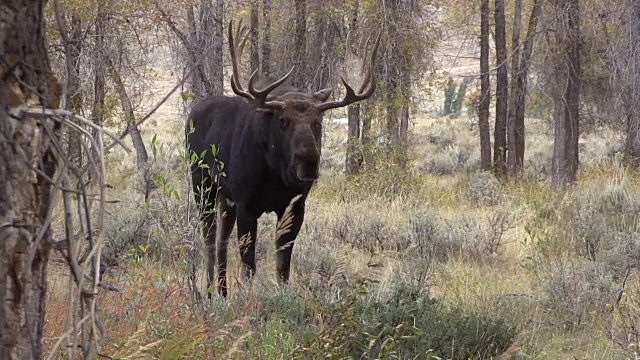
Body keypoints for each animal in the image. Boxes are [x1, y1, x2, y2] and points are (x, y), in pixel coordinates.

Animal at [185, 19, 380, 298]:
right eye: (283, 121)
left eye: (318, 122)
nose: (308, 161)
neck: (276, 176)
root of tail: (192, 114)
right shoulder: (247, 205)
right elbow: (249, 264)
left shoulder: (295, 205)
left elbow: (283, 265)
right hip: (202, 184)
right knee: (209, 237)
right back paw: (210, 292)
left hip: (226, 198)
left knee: (221, 239)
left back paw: (222, 291)